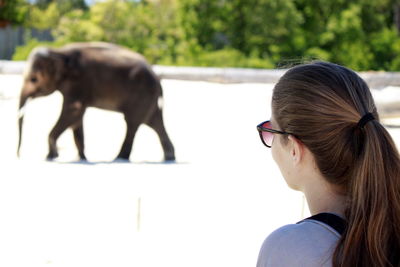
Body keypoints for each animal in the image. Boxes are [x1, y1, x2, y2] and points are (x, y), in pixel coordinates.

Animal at [17, 42, 175, 161]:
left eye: (33, 79)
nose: (18, 155)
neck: (59, 52)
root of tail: (157, 78)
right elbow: (77, 117)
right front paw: (82, 158)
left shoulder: (79, 82)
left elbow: (73, 111)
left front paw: (50, 157)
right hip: (148, 98)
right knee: (153, 122)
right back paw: (169, 158)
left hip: (142, 94)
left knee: (132, 124)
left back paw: (119, 158)